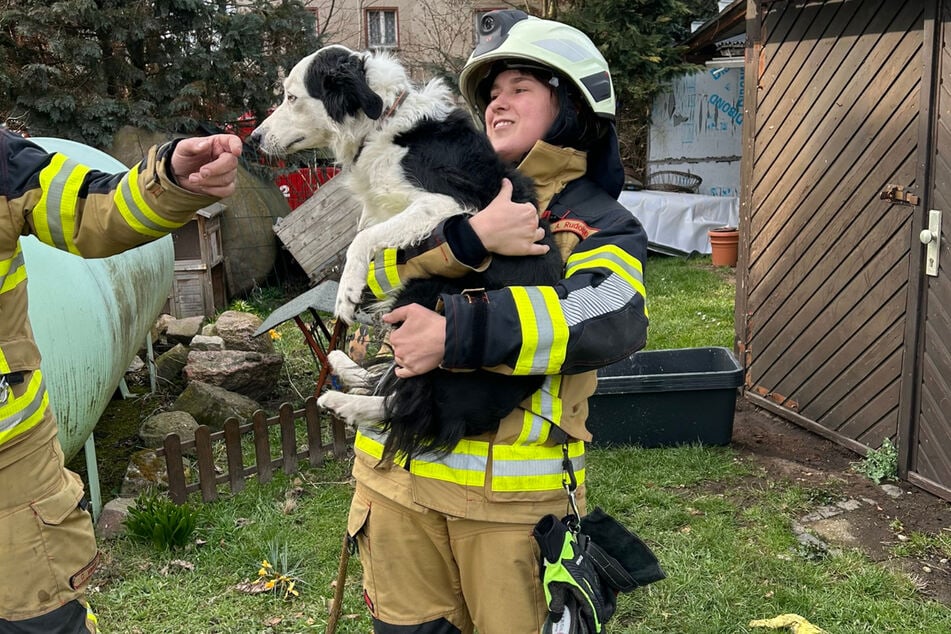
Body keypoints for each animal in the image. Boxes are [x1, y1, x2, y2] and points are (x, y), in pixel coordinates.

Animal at [253, 45, 564, 460]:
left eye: (291, 97)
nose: (254, 138)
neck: (380, 122)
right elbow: (365, 237)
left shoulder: (444, 203)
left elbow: (360, 241)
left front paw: (346, 293)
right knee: (396, 386)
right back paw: (344, 368)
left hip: (434, 293)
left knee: (409, 401)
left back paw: (343, 401)